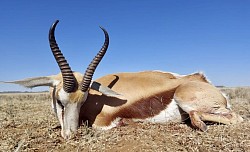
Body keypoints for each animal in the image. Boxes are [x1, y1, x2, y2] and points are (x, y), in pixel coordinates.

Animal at [3, 20, 242, 140]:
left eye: (81, 101)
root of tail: (204, 81)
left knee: (234, 118)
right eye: (61, 101)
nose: (71, 135)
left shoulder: (101, 123)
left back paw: (200, 125)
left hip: (185, 99)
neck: (96, 101)